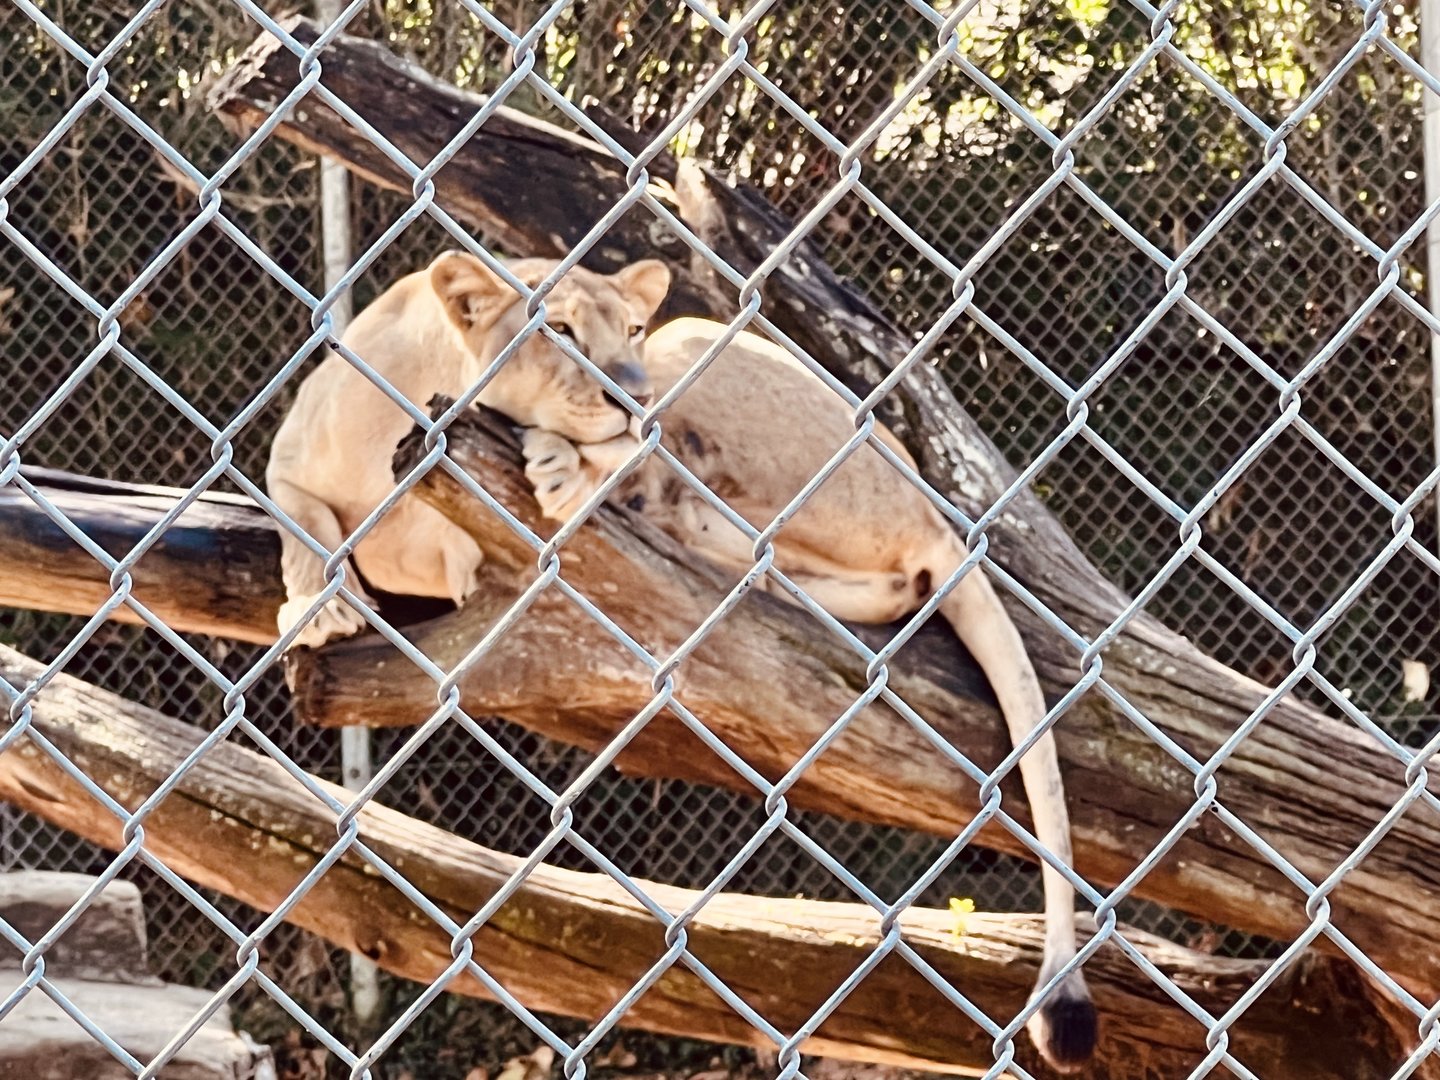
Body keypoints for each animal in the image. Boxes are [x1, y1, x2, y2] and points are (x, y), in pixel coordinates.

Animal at [267, 251, 1097, 1072]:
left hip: (703, 352)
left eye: (630, 327)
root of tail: (933, 505)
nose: (633, 391)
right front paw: (319, 604)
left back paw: (604, 488)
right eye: (558, 330)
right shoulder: (292, 458)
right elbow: (297, 518)